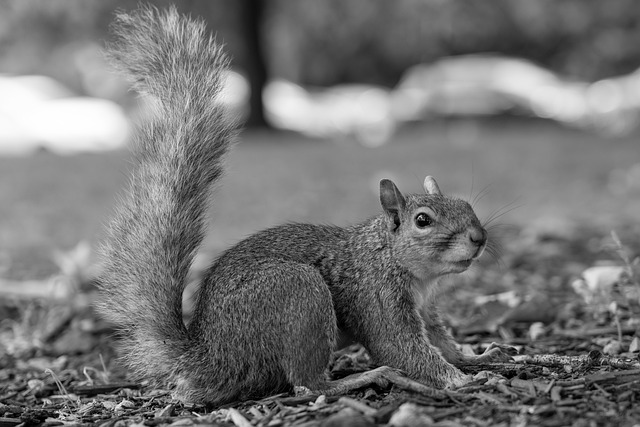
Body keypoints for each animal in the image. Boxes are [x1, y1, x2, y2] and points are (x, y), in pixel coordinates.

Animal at [97, 5, 513, 407]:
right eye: (423, 220)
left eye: (464, 203)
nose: (478, 237)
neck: (395, 259)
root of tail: (209, 355)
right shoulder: (377, 297)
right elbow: (402, 349)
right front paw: (463, 380)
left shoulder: (426, 308)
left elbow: (442, 342)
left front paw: (478, 357)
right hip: (300, 292)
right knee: (307, 385)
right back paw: (366, 377)